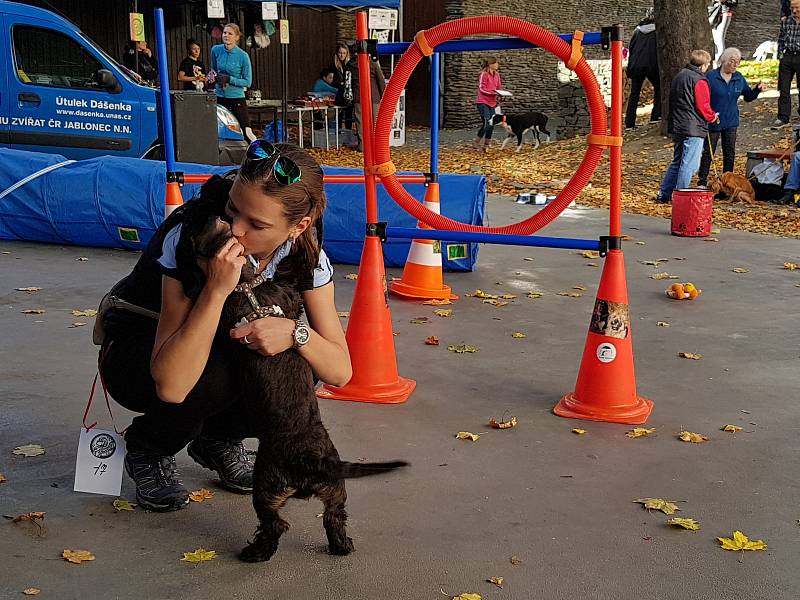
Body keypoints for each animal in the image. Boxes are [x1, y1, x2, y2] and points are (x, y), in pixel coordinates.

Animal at [183, 191, 406, 564]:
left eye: (195, 227)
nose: (190, 211)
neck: (248, 287)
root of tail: (311, 463)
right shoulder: (286, 297)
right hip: (335, 490)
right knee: (334, 518)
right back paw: (341, 547)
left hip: (267, 487)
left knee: (275, 525)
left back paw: (253, 553)